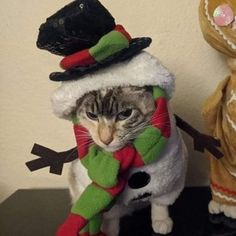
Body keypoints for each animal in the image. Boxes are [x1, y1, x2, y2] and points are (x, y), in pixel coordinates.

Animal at [68, 85, 188, 234]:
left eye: (125, 113)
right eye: (92, 115)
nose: (106, 139)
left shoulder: (170, 177)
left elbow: (160, 201)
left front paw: (161, 221)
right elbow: (111, 217)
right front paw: (109, 232)